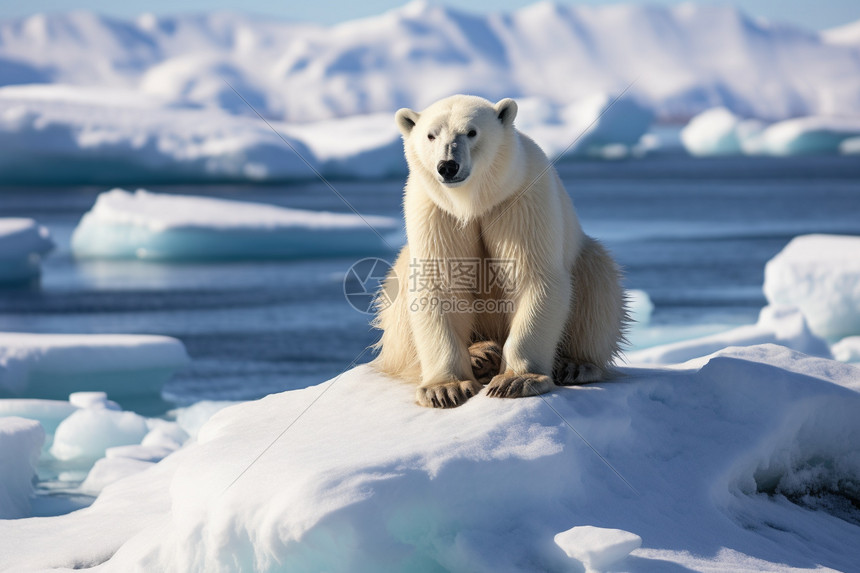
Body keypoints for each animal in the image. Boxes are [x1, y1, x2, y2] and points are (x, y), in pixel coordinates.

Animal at [372, 95, 624, 406]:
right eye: (431, 135)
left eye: (471, 132)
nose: (448, 166)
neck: (474, 202)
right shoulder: (434, 210)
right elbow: (441, 285)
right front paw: (445, 388)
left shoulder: (520, 199)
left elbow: (532, 277)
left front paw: (516, 380)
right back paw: (480, 354)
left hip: (586, 260)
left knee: (598, 286)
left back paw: (575, 364)